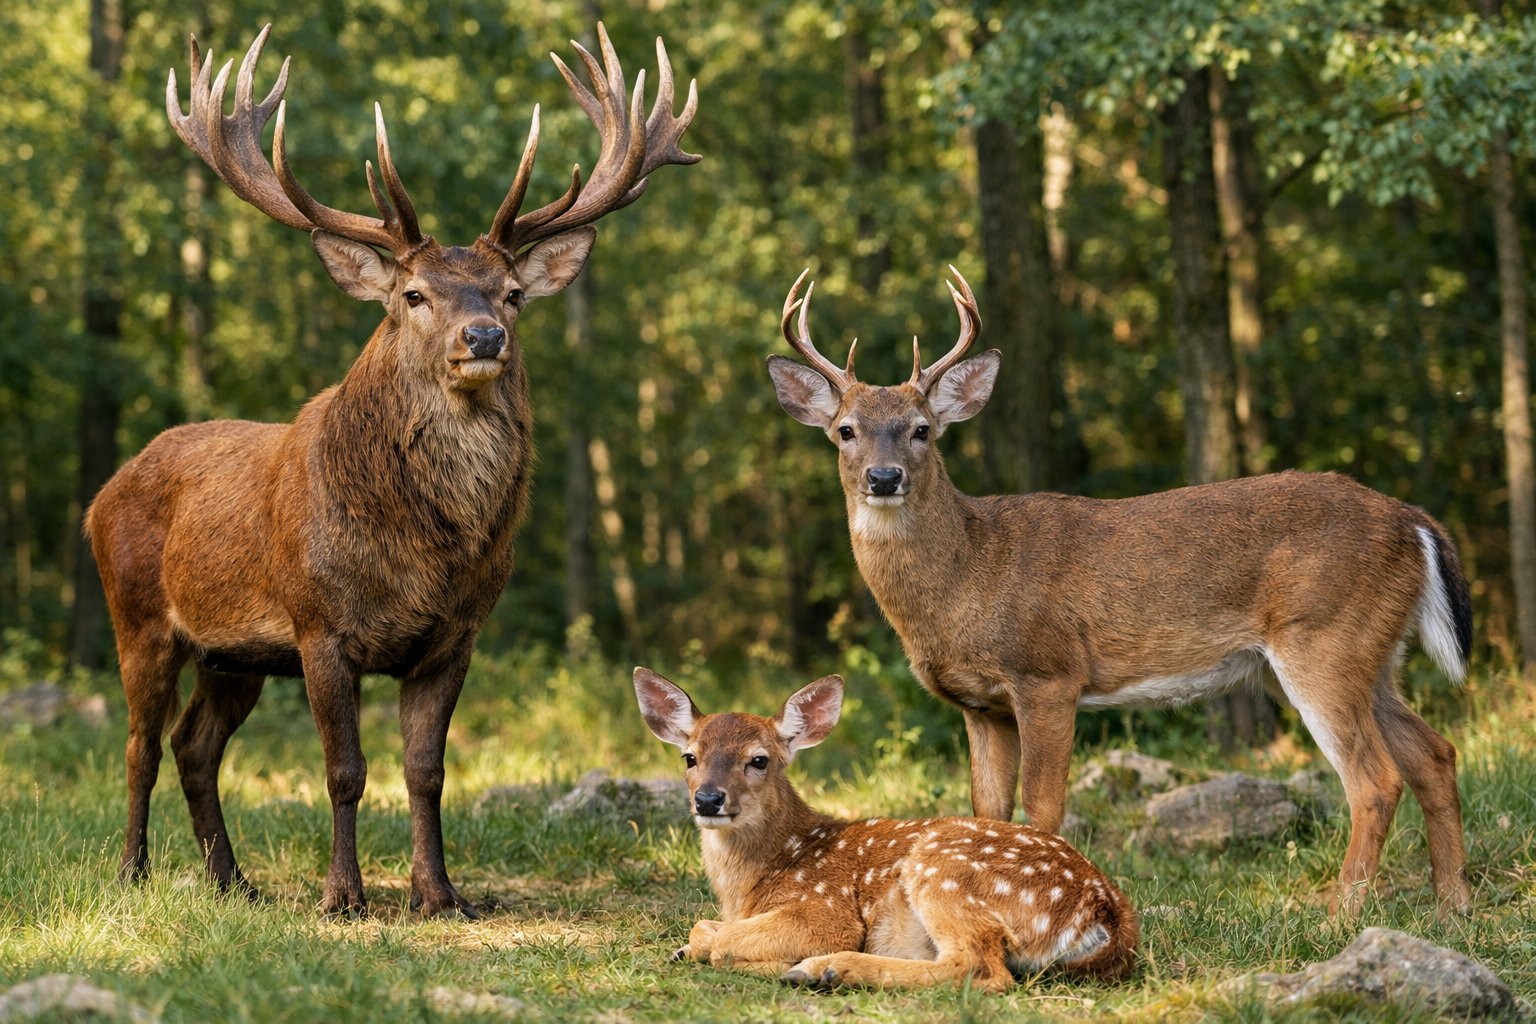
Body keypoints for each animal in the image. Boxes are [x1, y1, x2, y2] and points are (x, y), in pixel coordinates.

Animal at [84, 24, 698, 917]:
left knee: (195, 745)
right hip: (138, 616)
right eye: (413, 294)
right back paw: (133, 871)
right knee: (140, 744)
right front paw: (344, 896)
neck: (422, 552)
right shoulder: (317, 625)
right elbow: (344, 772)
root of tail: (102, 495)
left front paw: (439, 893)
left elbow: (426, 771)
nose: (484, 336)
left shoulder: (455, 636)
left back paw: (236, 883)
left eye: (511, 292)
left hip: (234, 656)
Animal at [634, 667, 1138, 990]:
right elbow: (708, 928)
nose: (708, 799)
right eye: (690, 757)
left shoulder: (827, 910)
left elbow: (715, 938)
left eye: (758, 760)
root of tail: (1106, 909)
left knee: (982, 969)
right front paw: (688, 950)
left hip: (944, 869)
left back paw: (824, 970)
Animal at [766, 267, 1475, 916]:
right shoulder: (980, 705)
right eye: (846, 430)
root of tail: (1413, 520)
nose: (884, 478)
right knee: (1435, 753)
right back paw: (1453, 903)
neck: (969, 576)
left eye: (921, 429)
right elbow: (987, 810)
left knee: (1375, 780)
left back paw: (1341, 914)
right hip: (1366, 655)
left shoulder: (1049, 673)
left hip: (1323, 641)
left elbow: (1043, 808)